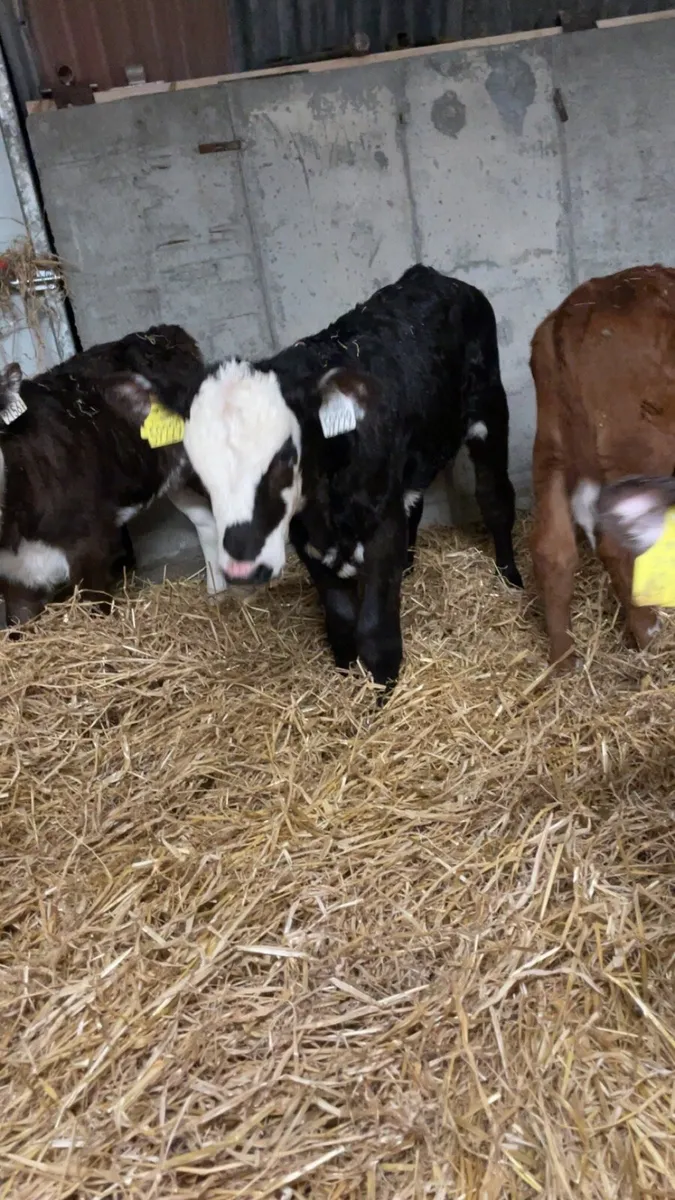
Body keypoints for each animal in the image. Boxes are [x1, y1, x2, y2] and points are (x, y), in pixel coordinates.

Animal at [150, 264, 522, 690]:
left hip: (489, 409)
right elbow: (341, 621)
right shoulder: (307, 540)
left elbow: (375, 629)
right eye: (198, 462)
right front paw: (346, 675)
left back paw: (511, 577)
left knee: (496, 498)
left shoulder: (381, 529)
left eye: (285, 454)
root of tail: (431, 275)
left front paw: (382, 692)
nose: (244, 564)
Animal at [529, 264, 675, 668]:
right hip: (642, 450)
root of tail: (578, 309)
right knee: (621, 547)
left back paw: (564, 661)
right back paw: (651, 636)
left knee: (553, 548)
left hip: (550, 449)